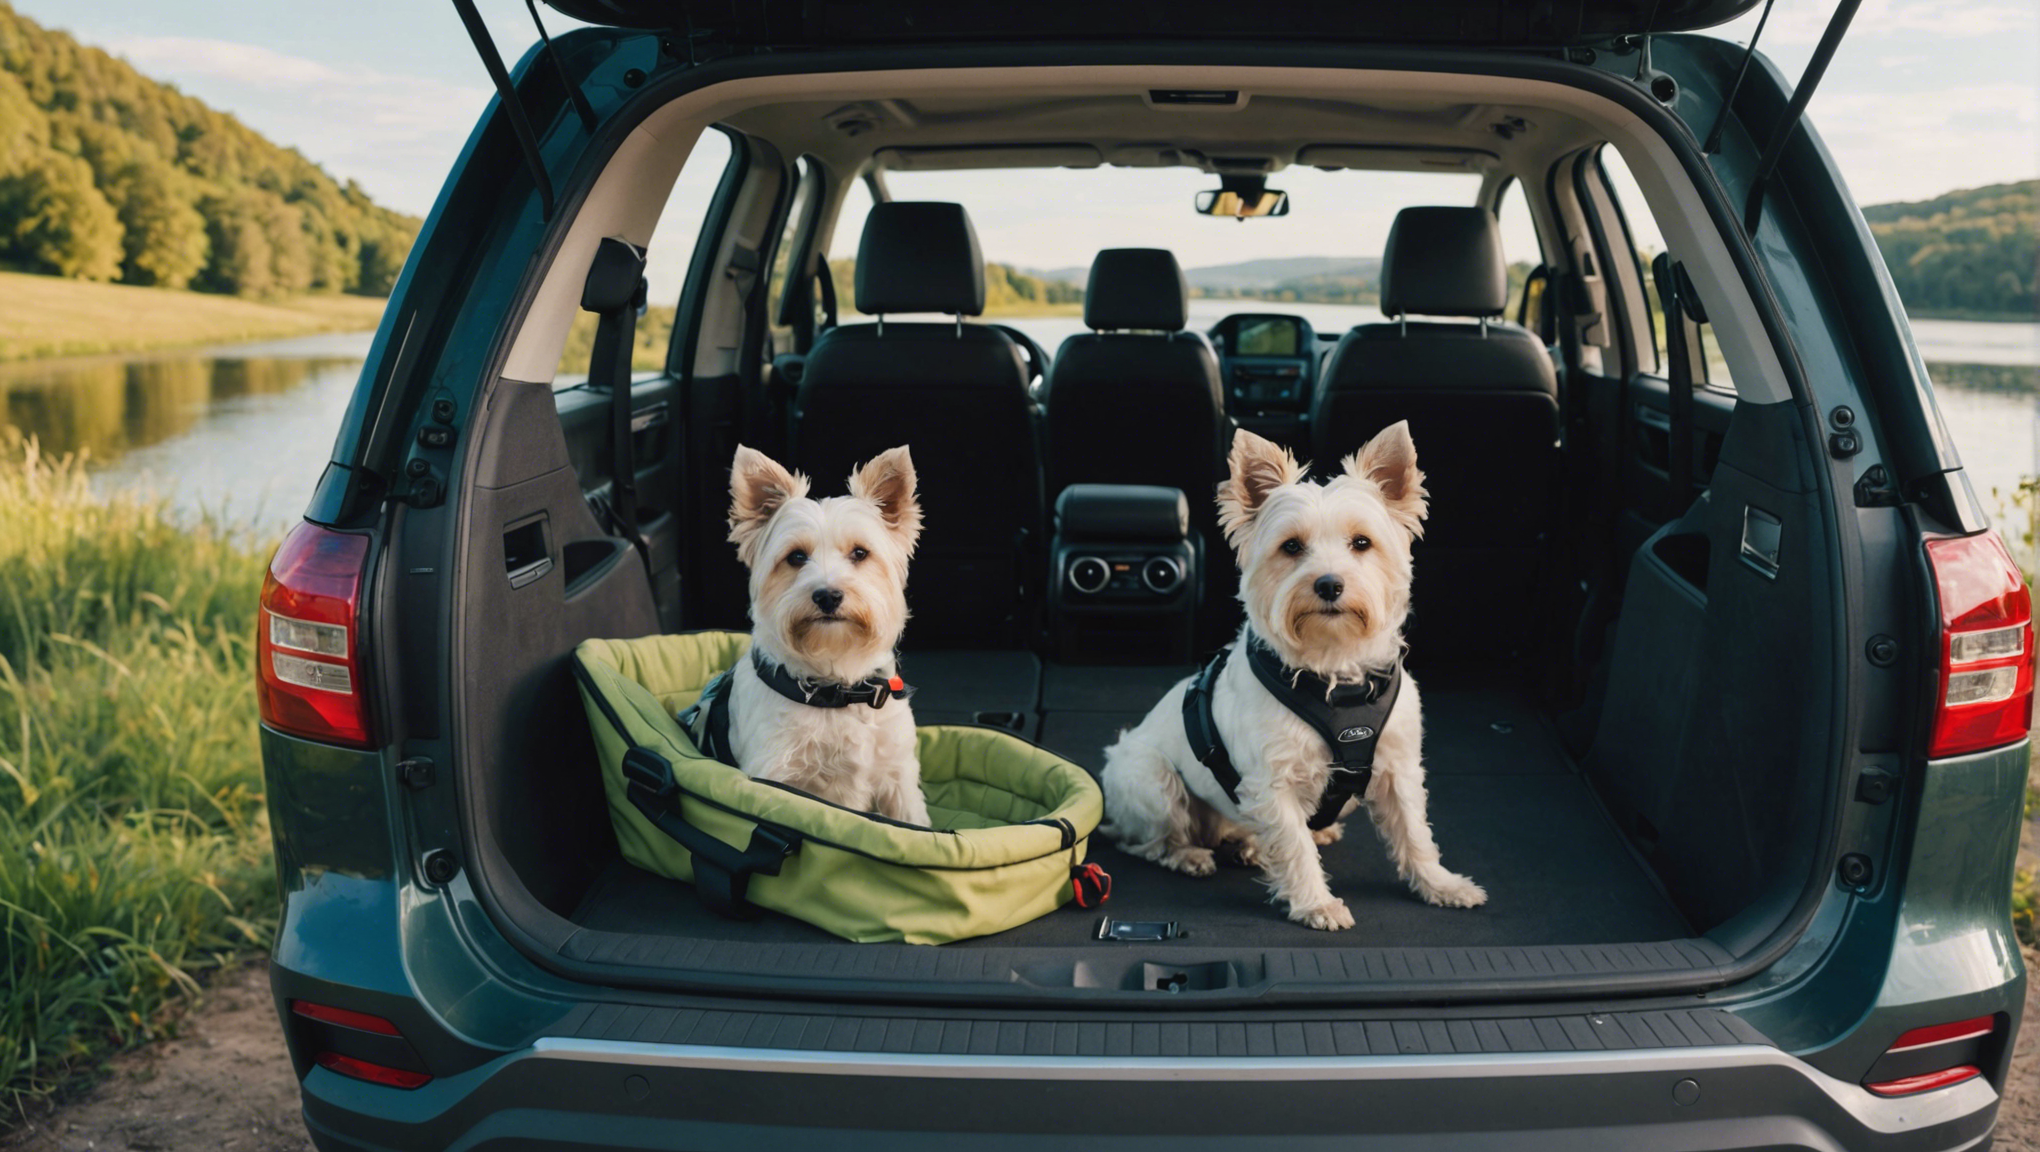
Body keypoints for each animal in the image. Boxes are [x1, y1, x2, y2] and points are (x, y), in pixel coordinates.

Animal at [693, 442, 934, 827]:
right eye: (796, 557)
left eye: (860, 553)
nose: (828, 595)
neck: (837, 688)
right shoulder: (774, 782)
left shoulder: (898, 780)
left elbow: (912, 823)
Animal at [1101, 422, 1485, 925]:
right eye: (1291, 546)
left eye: (1362, 542)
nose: (1329, 584)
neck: (1335, 675)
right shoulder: (1272, 781)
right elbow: (1294, 846)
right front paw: (1317, 903)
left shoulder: (1398, 768)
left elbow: (1415, 833)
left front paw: (1441, 885)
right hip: (1151, 777)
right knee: (1148, 840)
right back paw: (1190, 855)